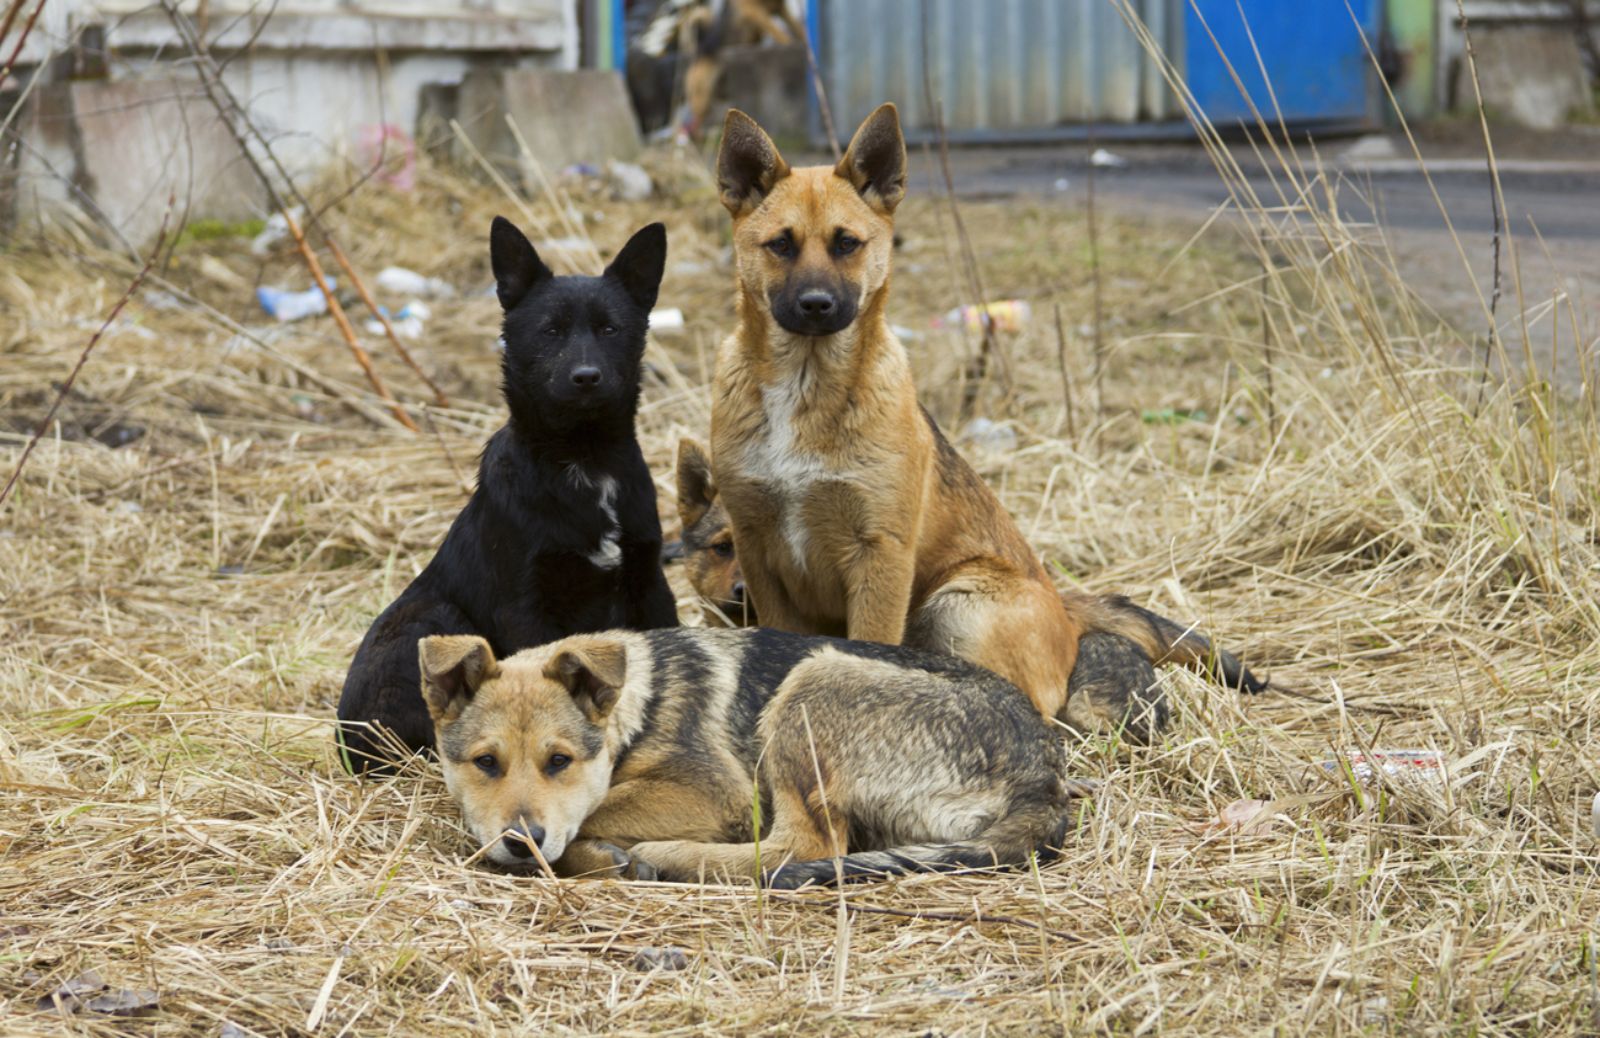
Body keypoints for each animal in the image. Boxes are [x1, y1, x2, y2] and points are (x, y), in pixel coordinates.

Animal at [337, 215, 681, 767]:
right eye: (550, 330)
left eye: (610, 329)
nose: (587, 377)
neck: (582, 462)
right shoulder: (524, 605)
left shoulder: (648, 583)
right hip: (433, 617)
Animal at [412, 626, 1094, 889]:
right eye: (485, 763)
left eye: (559, 761)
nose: (521, 841)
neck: (635, 709)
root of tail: (1045, 777)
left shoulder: (717, 793)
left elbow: (592, 815)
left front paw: (601, 853)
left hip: (811, 688)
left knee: (807, 846)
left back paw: (667, 858)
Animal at [710, 105, 1260, 732]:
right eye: (781, 244)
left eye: (846, 243)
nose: (817, 306)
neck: (805, 388)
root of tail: (1064, 610)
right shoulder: (760, 551)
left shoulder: (880, 556)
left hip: (957, 604)